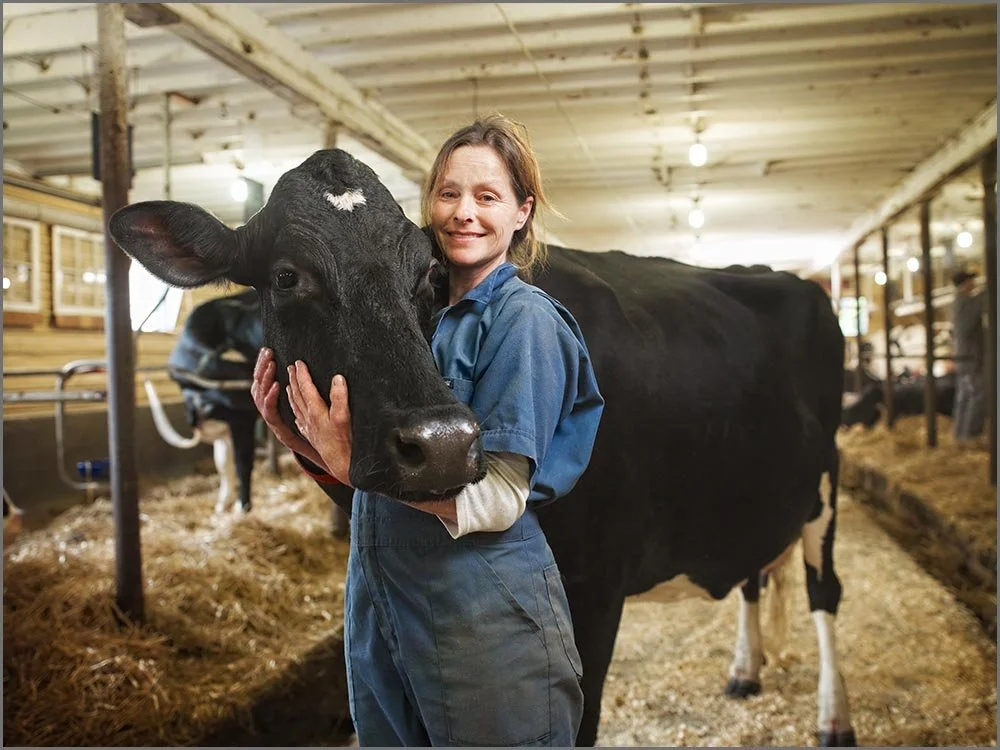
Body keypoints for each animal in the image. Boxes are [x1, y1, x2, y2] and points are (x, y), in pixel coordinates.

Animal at [109, 148, 856, 747]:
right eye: (288, 276)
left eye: (425, 274)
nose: (441, 444)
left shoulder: (597, 587)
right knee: (754, 570)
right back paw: (745, 670)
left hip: (827, 481)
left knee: (825, 590)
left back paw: (834, 718)